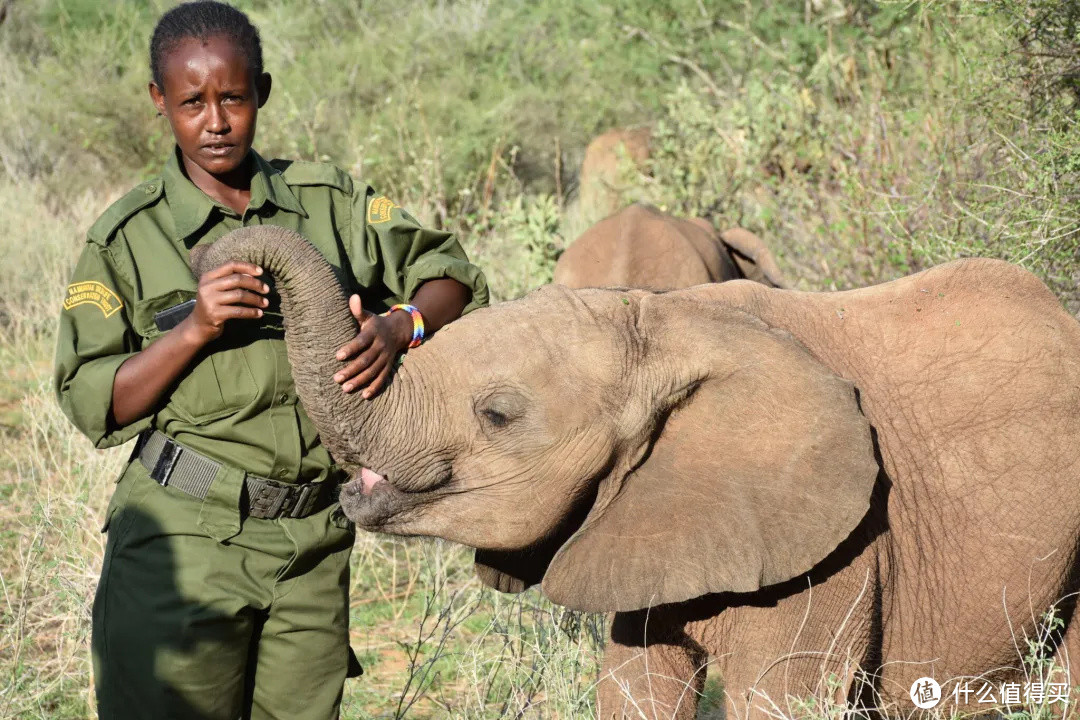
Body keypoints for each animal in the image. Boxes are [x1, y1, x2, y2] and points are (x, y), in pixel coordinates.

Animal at [194, 227, 1080, 720]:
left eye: (497, 415)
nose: (219, 268)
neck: (662, 324)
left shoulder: (845, 546)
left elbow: (781, 699)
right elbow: (634, 691)